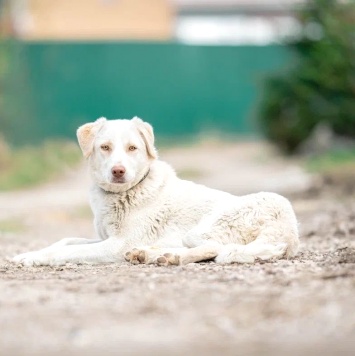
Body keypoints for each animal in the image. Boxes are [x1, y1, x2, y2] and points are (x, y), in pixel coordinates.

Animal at [12, 117, 298, 268]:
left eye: (132, 148)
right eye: (105, 147)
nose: (118, 171)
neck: (127, 192)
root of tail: (290, 231)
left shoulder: (117, 244)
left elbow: (65, 252)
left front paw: (32, 257)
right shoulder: (107, 238)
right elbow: (66, 241)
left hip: (206, 226)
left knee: (214, 247)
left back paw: (164, 256)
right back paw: (151, 253)